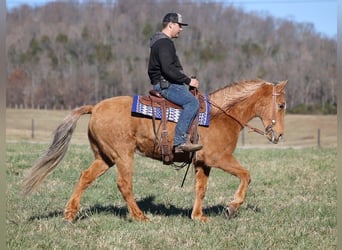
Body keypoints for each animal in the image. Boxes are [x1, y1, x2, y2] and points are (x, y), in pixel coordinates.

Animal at [22, 78, 288, 223]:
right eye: (282, 105)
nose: (279, 135)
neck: (220, 116)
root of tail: (95, 107)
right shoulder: (219, 158)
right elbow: (246, 175)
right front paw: (232, 207)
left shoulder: (203, 163)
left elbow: (200, 190)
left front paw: (198, 216)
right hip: (123, 156)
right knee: (124, 184)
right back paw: (140, 216)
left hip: (105, 157)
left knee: (85, 177)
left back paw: (69, 214)